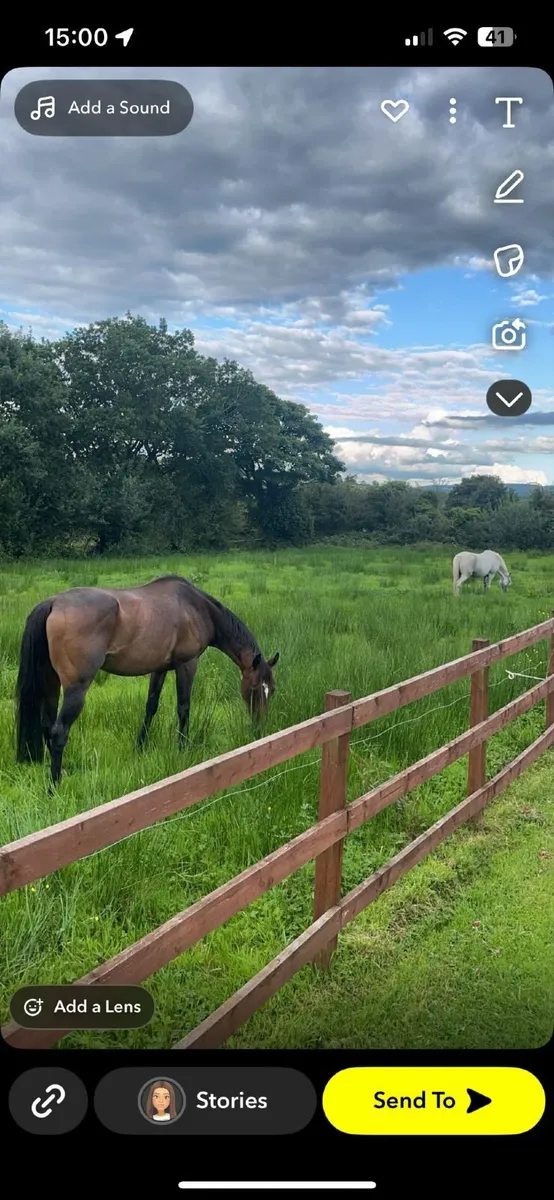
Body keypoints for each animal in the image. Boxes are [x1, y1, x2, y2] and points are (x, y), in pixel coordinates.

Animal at [15, 574, 279, 787]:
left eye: (272, 690)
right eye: (254, 688)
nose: (260, 728)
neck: (196, 607)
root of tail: (53, 603)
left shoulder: (159, 669)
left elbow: (151, 706)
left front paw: (140, 746)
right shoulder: (187, 664)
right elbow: (183, 707)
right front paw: (182, 748)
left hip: (51, 683)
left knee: (48, 725)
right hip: (76, 688)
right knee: (59, 731)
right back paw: (54, 786)